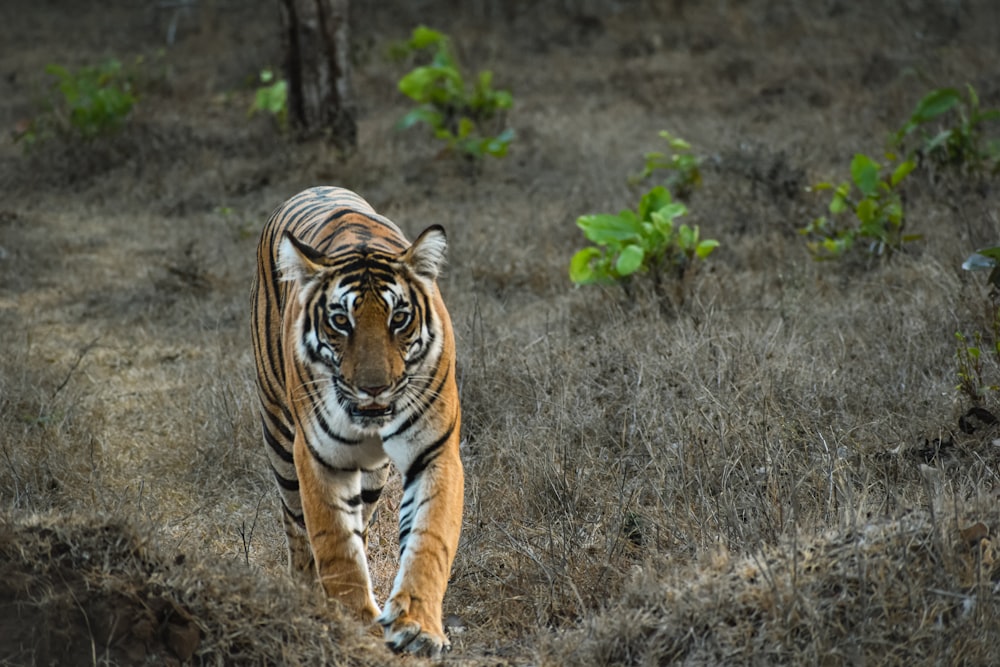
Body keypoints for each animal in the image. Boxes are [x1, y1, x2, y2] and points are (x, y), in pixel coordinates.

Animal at [254, 185, 464, 656]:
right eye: (340, 321)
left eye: (399, 319)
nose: (374, 388)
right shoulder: (320, 458)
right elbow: (335, 545)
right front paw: (356, 627)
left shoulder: (435, 453)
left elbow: (429, 539)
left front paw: (417, 626)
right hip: (279, 439)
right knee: (298, 532)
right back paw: (306, 597)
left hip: (371, 478)